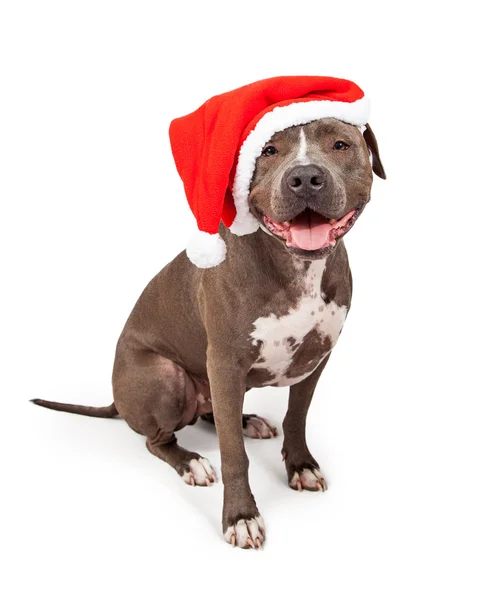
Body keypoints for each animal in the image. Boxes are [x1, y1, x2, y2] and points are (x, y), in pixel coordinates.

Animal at [31, 82, 386, 552]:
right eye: (269, 150)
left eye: (341, 145)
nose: (306, 177)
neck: (296, 267)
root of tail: (116, 400)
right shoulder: (224, 360)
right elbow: (234, 456)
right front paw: (241, 516)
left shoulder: (316, 358)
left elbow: (296, 418)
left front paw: (301, 465)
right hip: (167, 377)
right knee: (158, 439)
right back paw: (191, 462)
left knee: (215, 413)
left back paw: (246, 420)